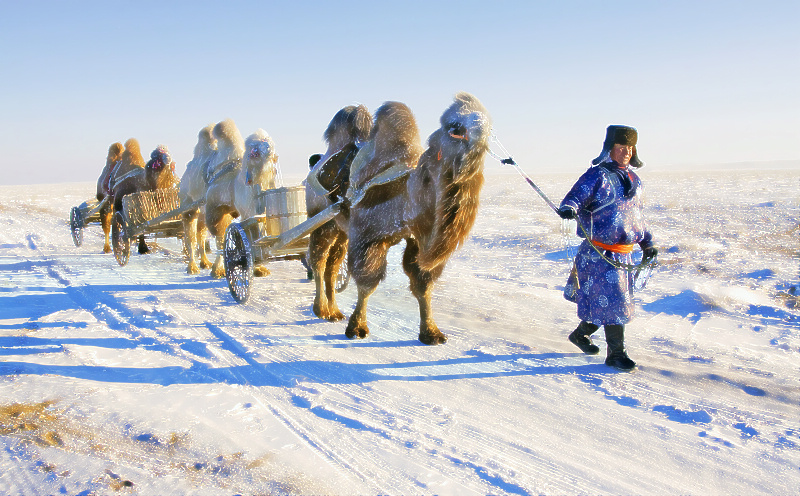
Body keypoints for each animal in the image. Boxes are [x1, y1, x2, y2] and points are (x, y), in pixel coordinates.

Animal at [306, 104, 372, 322]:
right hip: (323, 226)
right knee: (318, 261)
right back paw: (321, 309)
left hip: (341, 233)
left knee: (331, 268)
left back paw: (334, 311)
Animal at [342, 91, 488, 342]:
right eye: (453, 125)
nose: (480, 125)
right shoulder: (366, 235)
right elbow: (367, 283)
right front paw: (356, 328)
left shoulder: (417, 241)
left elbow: (423, 284)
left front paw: (431, 333)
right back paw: (326, 310)